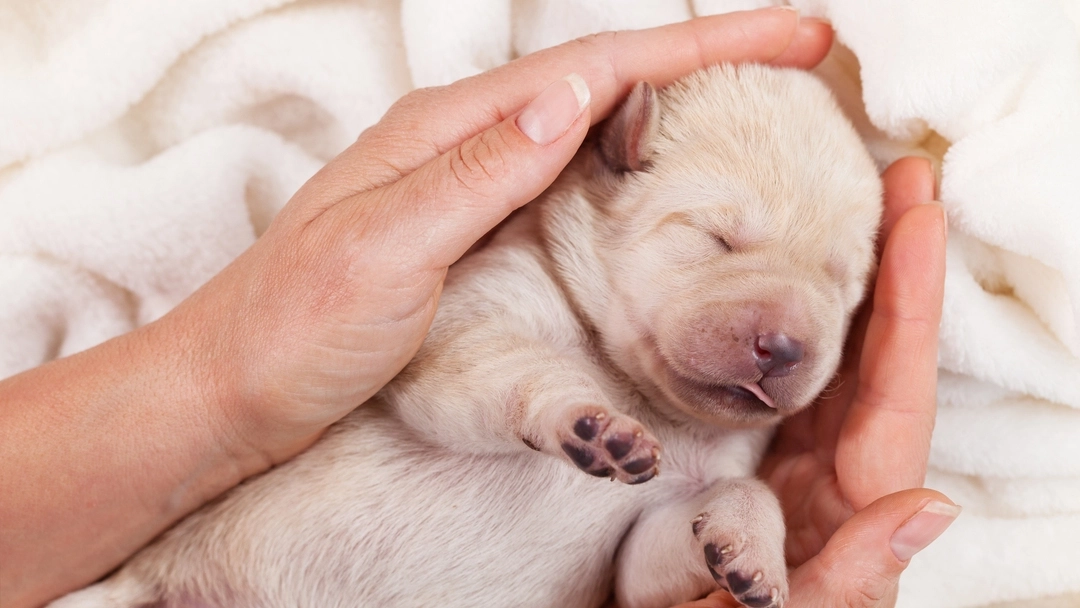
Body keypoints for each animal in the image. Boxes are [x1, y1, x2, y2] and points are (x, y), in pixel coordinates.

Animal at [50, 64, 881, 608]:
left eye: (843, 286)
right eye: (717, 239)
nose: (787, 347)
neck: (647, 395)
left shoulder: (648, 535)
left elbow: (677, 540)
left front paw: (750, 555)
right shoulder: (463, 323)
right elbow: (499, 370)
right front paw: (589, 420)